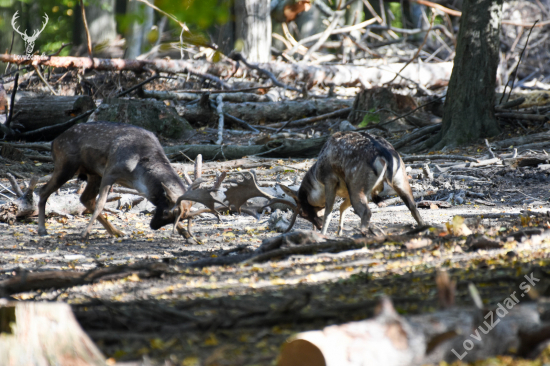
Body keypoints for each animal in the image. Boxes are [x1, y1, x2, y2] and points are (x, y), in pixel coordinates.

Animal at [36, 121, 223, 239]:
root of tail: (53, 142)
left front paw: (188, 235)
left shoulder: (141, 188)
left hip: (92, 173)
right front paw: (84, 233)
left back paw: (117, 232)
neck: (137, 169)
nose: (153, 226)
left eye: (178, 218)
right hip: (65, 165)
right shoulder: (110, 171)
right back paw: (42, 229)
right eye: (166, 213)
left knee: (84, 198)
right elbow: (101, 204)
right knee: (43, 190)